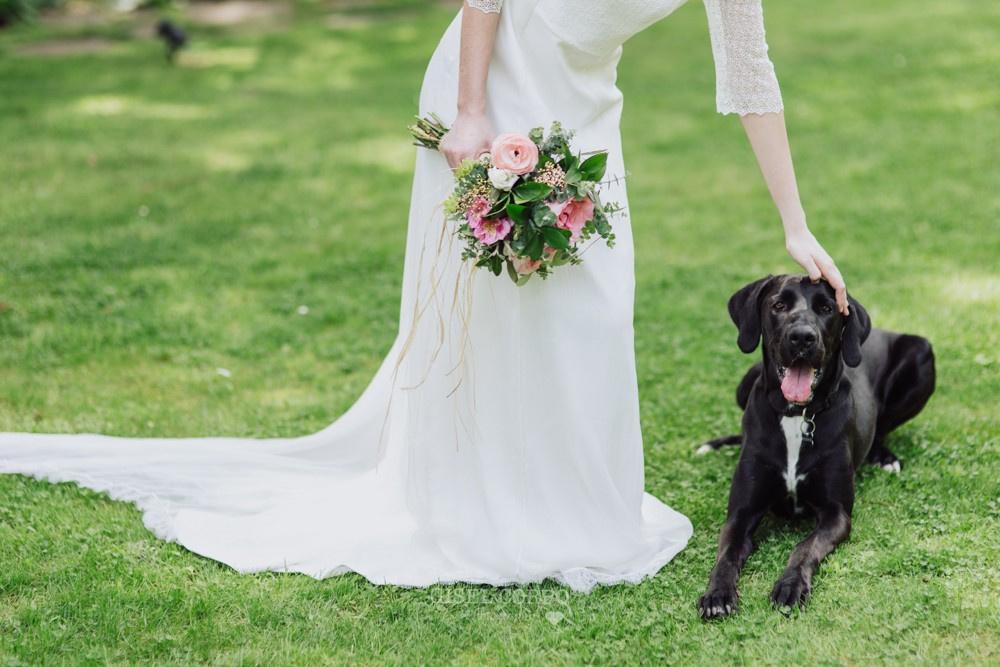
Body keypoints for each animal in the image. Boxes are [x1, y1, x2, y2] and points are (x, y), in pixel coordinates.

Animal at [696, 274, 936, 620]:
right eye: (778, 305)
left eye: (826, 308)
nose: (802, 338)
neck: (798, 415)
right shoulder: (740, 513)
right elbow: (726, 555)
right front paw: (717, 594)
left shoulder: (836, 515)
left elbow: (804, 547)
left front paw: (790, 585)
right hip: (744, 382)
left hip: (921, 352)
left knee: (882, 427)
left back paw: (884, 456)